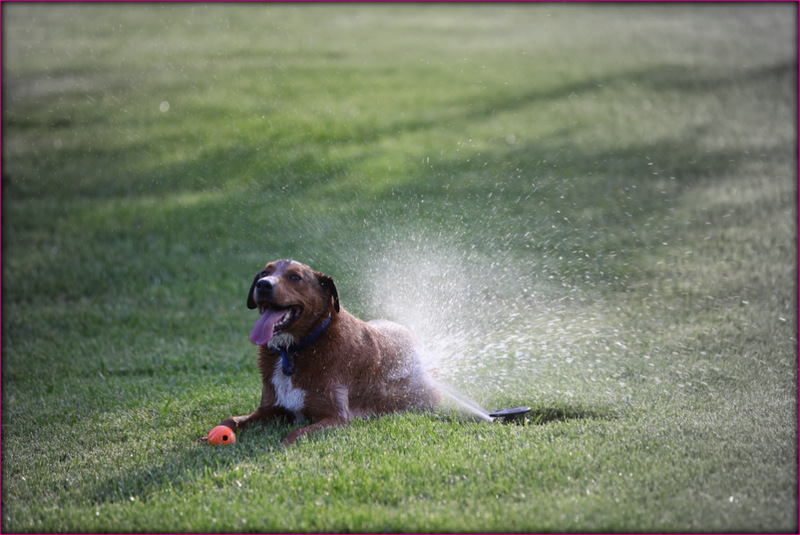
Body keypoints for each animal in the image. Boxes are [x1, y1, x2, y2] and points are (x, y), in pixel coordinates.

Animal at [206, 258, 440, 444]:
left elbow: (297, 433)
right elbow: (231, 419)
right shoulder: (270, 408)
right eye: (264, 273)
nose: (263, 284)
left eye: (295, 277)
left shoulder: (337, 417)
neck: (296, 350)